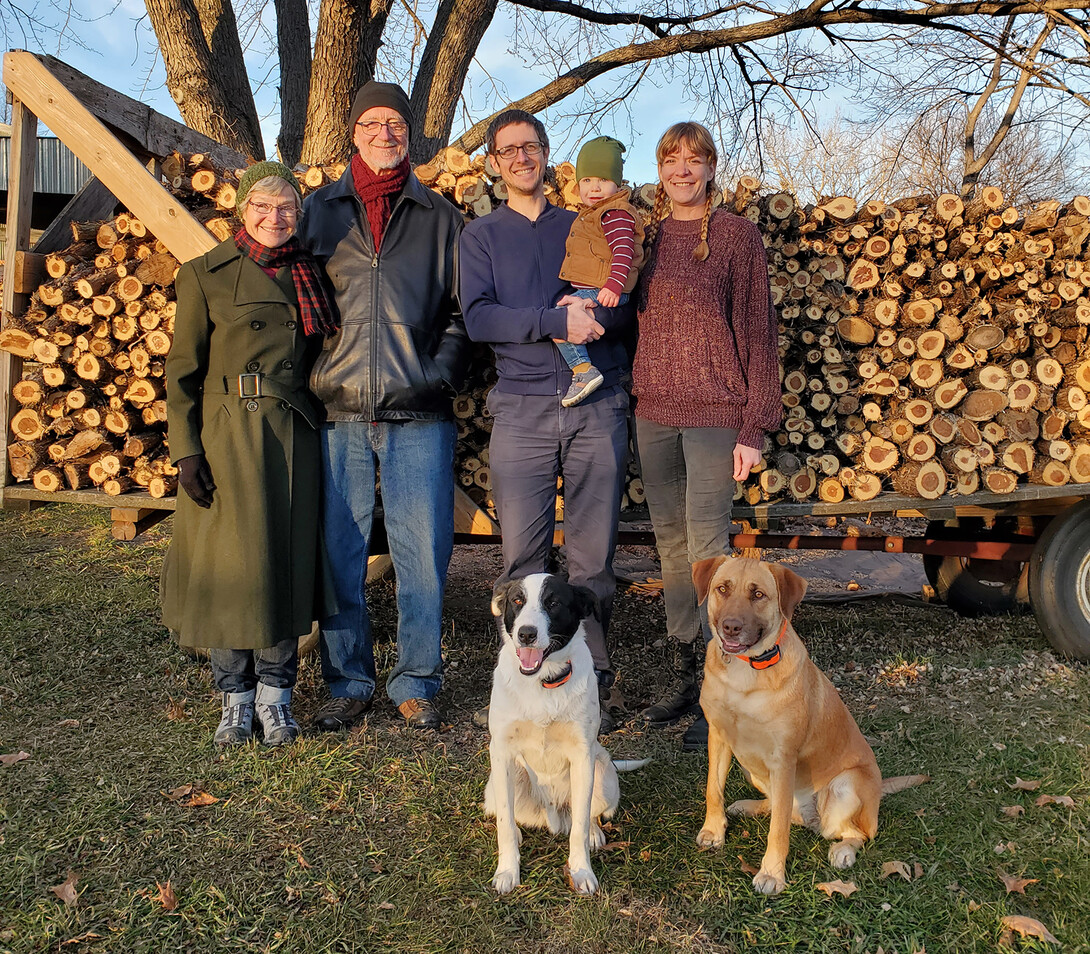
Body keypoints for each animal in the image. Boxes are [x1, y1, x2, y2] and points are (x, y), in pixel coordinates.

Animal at [481, 575, 640, 894]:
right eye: (517, 601)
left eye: (553, 603)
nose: (526, 634)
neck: (543, 682)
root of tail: (552, 815)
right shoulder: (501, 752)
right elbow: (505, 823)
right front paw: (507, 870)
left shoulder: (582, 755)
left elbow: (579, 826)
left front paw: (581, 871)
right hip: (496, 783)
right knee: (506, 815)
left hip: (603, 774)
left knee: (587, 813)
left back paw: (594, 833)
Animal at [693, 556, 924, 898]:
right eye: (723, 589)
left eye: (758, 594)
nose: (731, 626)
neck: (745, 673)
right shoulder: (718, 738)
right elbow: (713, 789)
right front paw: (713, 830)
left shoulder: (783, 758)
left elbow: (778, 831)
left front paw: (772, 873)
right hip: (752, 769)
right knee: (783, 809)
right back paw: (750, 806)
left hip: (845, 786)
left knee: (856, 832)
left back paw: (843, 850)